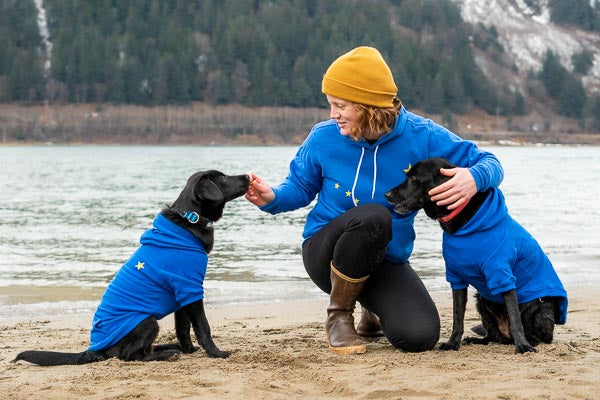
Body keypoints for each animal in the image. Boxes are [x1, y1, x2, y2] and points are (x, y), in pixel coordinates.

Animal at [12, 170, 251, 366]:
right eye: (222, 178)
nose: (248, 176)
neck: (190, 219)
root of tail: (95, 350)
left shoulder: (183, 294)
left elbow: (183, 329)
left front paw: (190, 351)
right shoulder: (190, 289)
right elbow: (203, 327)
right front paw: (216, 353)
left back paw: (168, 348)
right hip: (147, 321)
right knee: (129, 356)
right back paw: (165, 354)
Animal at [384, 158, 568, 354]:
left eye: (413, 178)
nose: (386, 194)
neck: (466, 223)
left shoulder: (502, 274)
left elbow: (514, 318)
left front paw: (523, 346)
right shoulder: (455, 276)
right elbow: (457, 317)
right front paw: (453, 343)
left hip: (537, 307)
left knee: (535, 335)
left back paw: (525, 342)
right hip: (481, 302)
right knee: (494, 336)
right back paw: (477, 339)